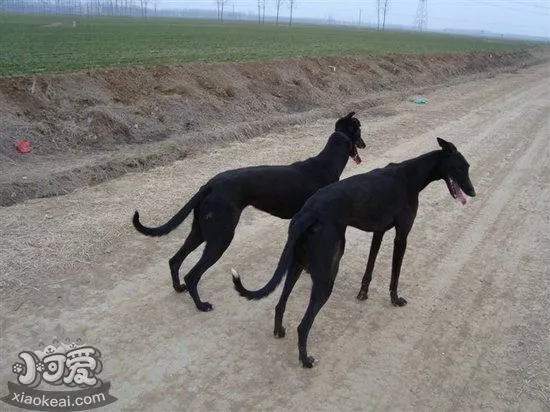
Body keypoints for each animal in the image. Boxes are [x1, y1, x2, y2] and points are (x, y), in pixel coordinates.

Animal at [134, 111, 366, 310]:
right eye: (359, 132)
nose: (364, 144)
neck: (325, 164)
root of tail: (210, 185)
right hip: (220, 237)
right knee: (192, 275)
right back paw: (201, 305)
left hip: (202, 230)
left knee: (174, 261)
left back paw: (178, 288)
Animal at [235, 138, 476, 366]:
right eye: (461, 167)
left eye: (467, 166)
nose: (473, 193)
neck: (412, 174)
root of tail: (309, 212)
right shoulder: (401, 236)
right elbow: (395, 274)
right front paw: (395, 299)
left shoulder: (379, 232)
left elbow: (370, 264)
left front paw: (363, 293)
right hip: (326, 276)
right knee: (303, 326)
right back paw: (305, 360)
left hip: (297, 263)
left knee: (280, 304)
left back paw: (279, 331)